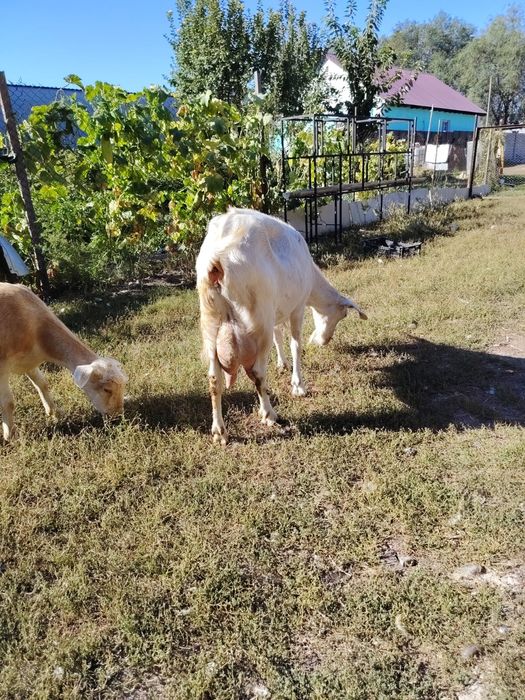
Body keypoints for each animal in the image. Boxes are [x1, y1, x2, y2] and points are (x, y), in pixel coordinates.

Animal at [0, 283, 128, 441]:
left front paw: (55, 412)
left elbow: (43, 384)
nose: (117, 416)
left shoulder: (29, 362)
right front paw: (11, 435)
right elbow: (8, 402)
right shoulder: (2, 368)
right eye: (107, 389)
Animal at [196, 208, 367, 444]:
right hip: (259, 321)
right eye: (342, 315)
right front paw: (299, 385)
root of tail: (217, 259)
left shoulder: (278, 312)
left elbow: (279, 337)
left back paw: (219, 432)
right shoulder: (297, 308)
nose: (324, 341)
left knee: (214, 379)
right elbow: (296, 344)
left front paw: (282, 364)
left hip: (212, 326)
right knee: (258, 373)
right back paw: (269, 414)